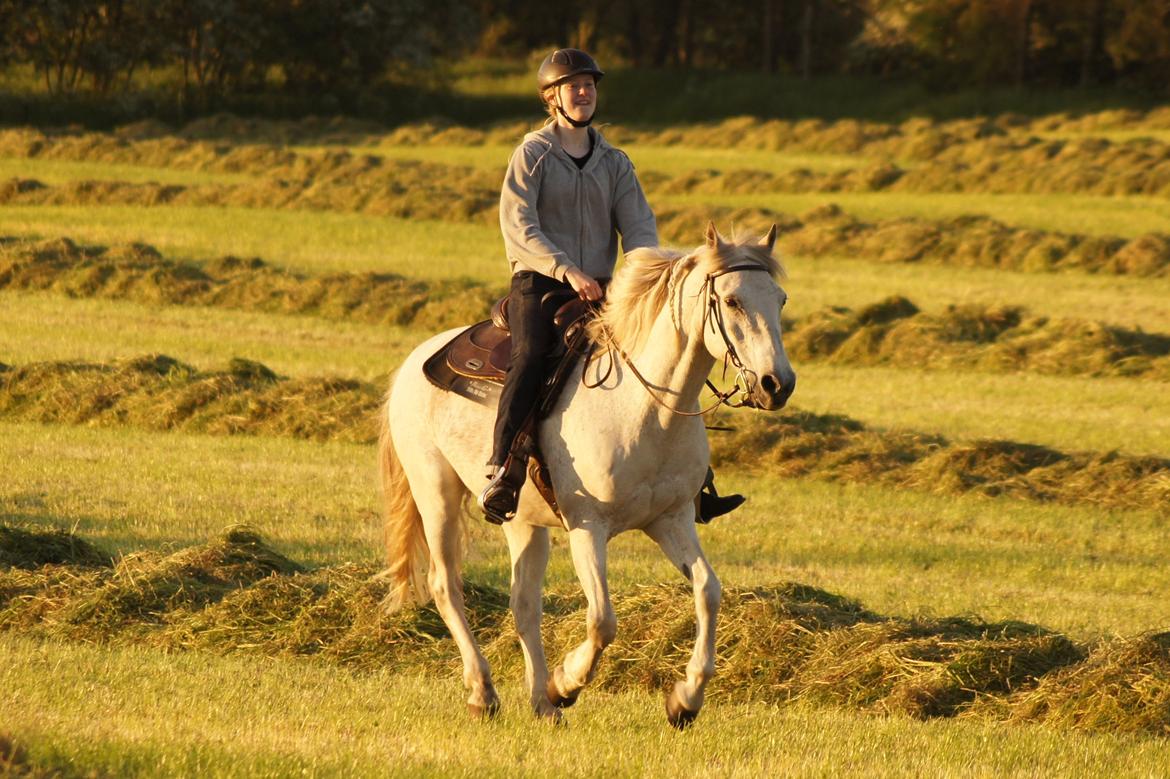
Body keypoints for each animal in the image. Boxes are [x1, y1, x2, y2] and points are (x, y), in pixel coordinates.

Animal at [379, 221, 800, 725]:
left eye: (780, 299)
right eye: (733, 301)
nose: (777, 384)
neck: (645, 410)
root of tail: (414, 360)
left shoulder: (671, 520)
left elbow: (708, 591)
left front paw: (685, 698)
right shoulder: (587, 527)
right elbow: (602, 620)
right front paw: (567, 683)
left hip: (523, 522)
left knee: (524, 603)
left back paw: (541, 703)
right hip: (435, 494)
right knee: (446, 587)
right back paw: (485, 692)